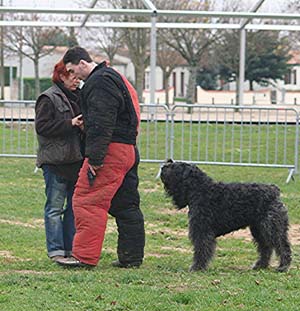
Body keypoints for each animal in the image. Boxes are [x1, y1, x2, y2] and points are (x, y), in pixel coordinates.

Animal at [161, 161, 292, 272]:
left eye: (174, 167)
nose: (162, 167)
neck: (200, 190)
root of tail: (274, 191)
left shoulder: (201, 230)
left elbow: (201, 248)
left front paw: (197, 267)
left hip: (271, 227)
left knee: (282, 246)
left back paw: (283, 267)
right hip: (258, 229)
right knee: (265, 247)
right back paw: (260, 265)